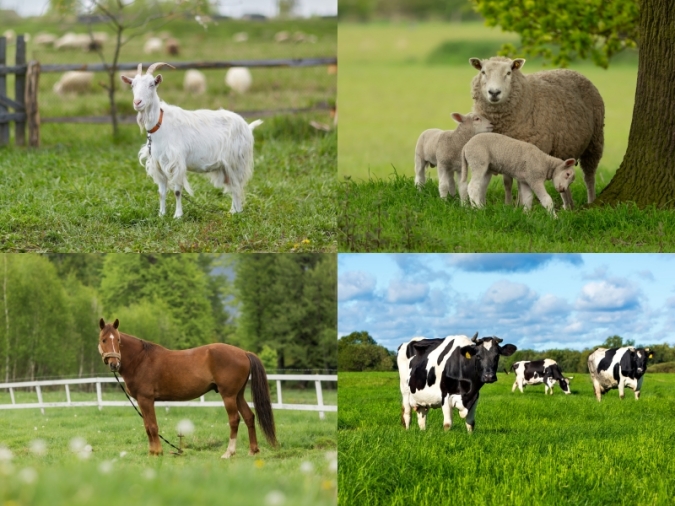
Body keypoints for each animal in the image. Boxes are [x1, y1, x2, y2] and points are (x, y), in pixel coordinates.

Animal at [97, 318, 278, 456]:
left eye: (118, 340)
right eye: (103, 340)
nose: (114, 364)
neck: (140, 360)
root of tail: (244, 353)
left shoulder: (146, 399)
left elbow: (152, 426)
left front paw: (158, 452)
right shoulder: (143, 401)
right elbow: (148, 426)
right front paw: (152, 452)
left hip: (228, 396)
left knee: (234, 420)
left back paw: (229, 452)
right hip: (238, 395)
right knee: (249, 417)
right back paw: (253, 451)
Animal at [120, 62, 262, 218]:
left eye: (152, 84)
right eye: (132, 85)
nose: (137, 102)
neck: (160, 124)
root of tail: (247, 126)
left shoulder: (176, 162)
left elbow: (177, 191)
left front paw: (177, 215)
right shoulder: (157, 164)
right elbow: (161, 192)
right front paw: (162, 214)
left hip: (235, 161)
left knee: (237, 188)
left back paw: (238, 213)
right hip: (226, 166)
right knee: (232, 187)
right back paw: (232, 211)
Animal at [470, 57, 608, 210]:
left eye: (509, 72)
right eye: (483, 72)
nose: (494, 93)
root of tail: (574, 71)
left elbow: (521, 183)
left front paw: (519, 205)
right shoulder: (505, 152)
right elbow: (507, 181)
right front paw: (509, 204)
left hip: (595, 141)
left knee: (589, 176)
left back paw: (591, 201)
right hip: (564, 149)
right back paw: (568, 206)